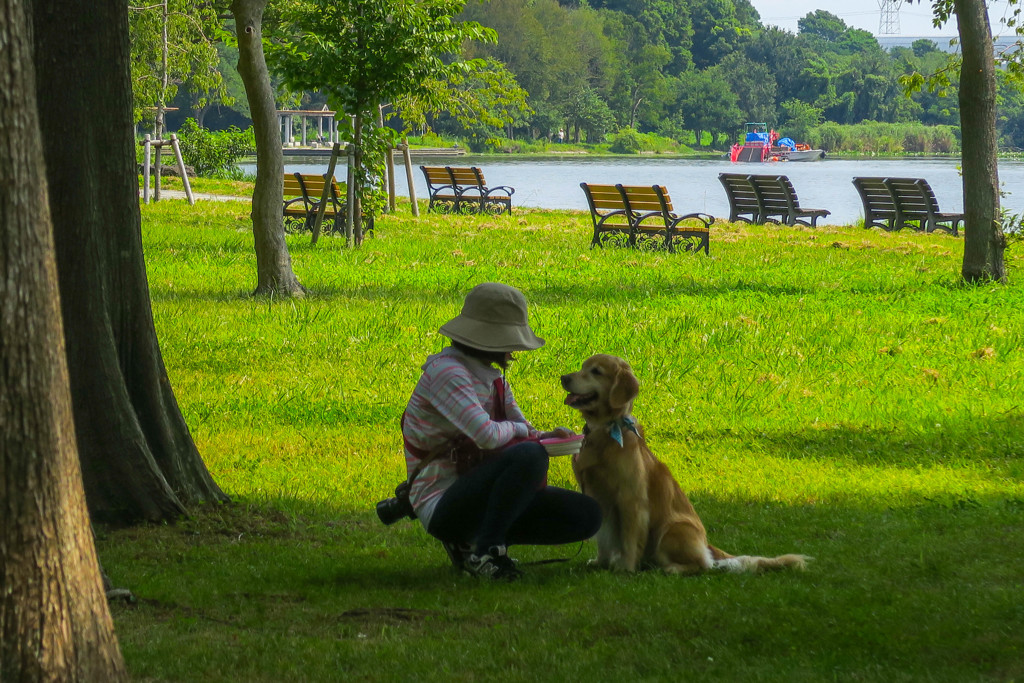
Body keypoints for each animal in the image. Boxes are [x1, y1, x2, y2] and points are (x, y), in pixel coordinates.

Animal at [561, 356, 806, 573]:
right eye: (583, 366)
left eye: (596, 371)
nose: (564, 377)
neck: (604, 430)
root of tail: (706, 545)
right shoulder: (597, 496)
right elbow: (603, 537)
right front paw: (601, 563)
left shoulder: (631, 498)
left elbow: (630, 538)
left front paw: (626, 568)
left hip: (672, 530)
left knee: (703, 565)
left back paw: (671, 569)